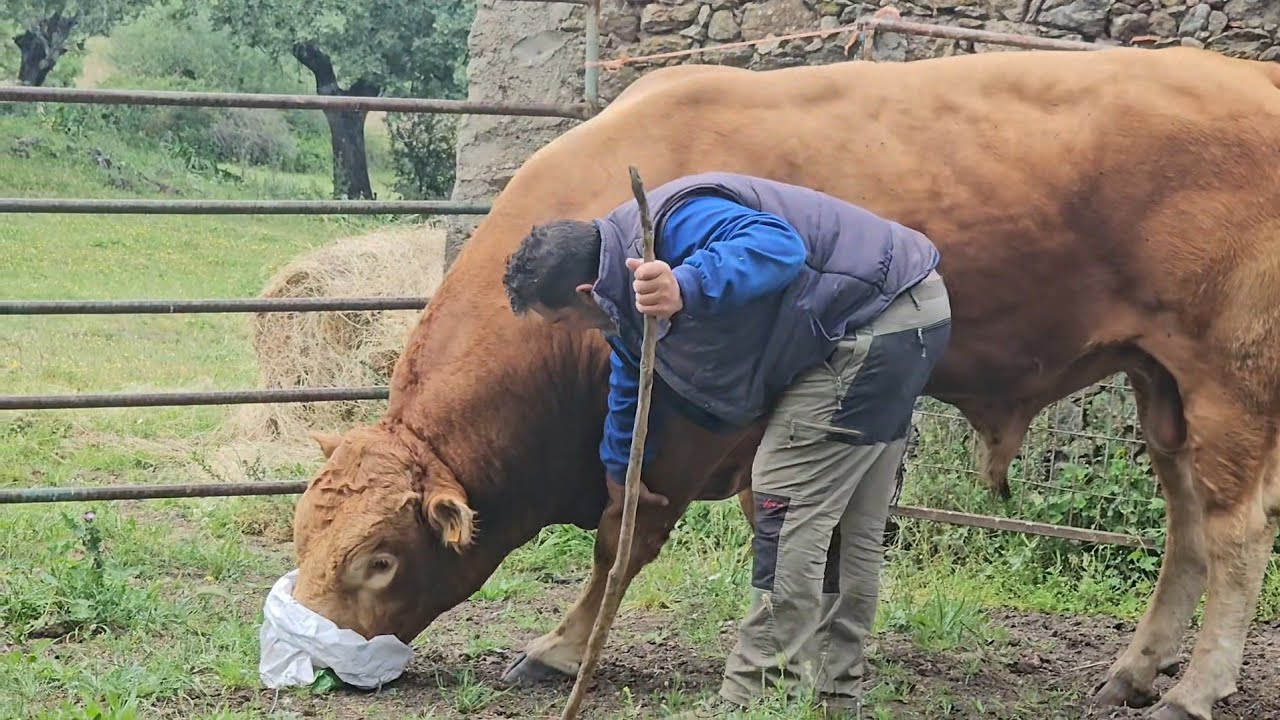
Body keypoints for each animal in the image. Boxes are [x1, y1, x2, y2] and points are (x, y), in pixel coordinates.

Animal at [290, 45, 1280, 720]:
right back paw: (1134, 671)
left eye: (379, 559)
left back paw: (1193, 689)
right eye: (303, 534)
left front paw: (562, 649)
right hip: (1165, 388)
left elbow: (626, 535)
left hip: (1229, 381)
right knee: (1188, 529)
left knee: (1236, 535)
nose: (317, 656)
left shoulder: (696, 422)